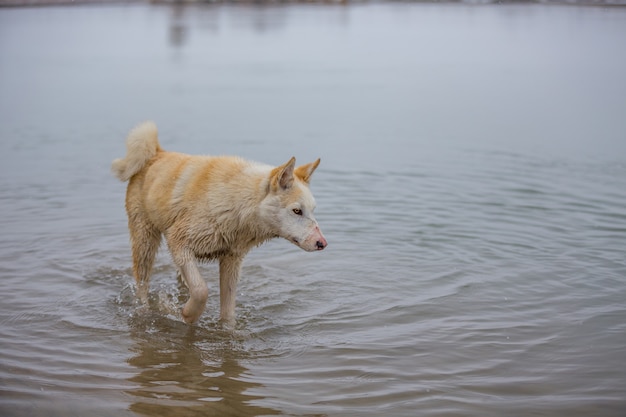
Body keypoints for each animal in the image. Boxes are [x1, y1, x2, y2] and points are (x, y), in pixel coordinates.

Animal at [111, 122, 326, 324]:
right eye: (297, 211)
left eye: (313, 210)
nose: (322, 243)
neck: (238, 203)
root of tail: (157, 152)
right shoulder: (178, 241)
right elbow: (201, 290)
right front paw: (188, 314)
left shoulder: (231, 261)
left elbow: (228, 312)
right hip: (145, 241)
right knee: (142, 285)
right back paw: (144, 310)